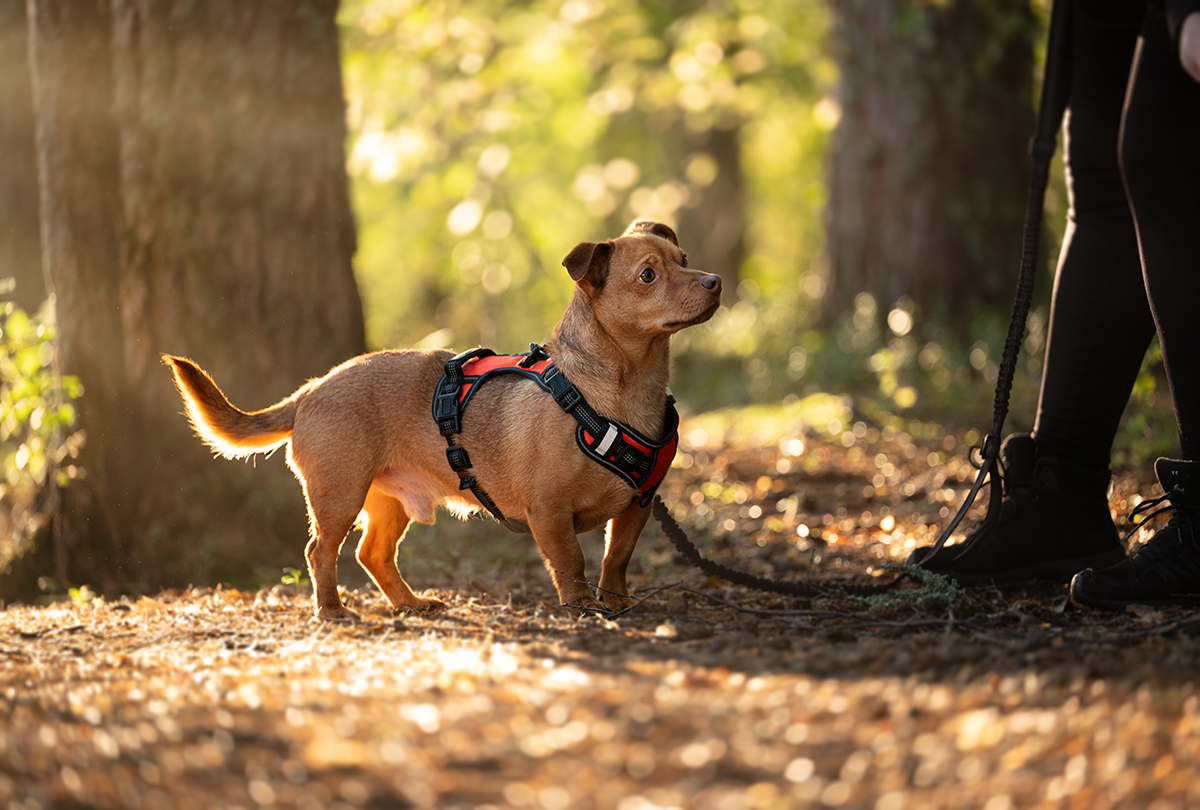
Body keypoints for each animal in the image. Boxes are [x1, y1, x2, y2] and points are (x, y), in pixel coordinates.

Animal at [163, 218, 715, 619]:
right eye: (648, 275)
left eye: (685, 261)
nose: (716, 280)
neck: (617, 391)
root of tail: (311, 390)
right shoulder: (549, 511)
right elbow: (572, 560)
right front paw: (580, 605)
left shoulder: (637, 506)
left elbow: (615, 558)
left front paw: (618, 601)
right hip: (339, 494)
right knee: (320, 551)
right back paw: (333, 610)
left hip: (387, 502)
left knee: (373, 554)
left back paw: (409, 604)